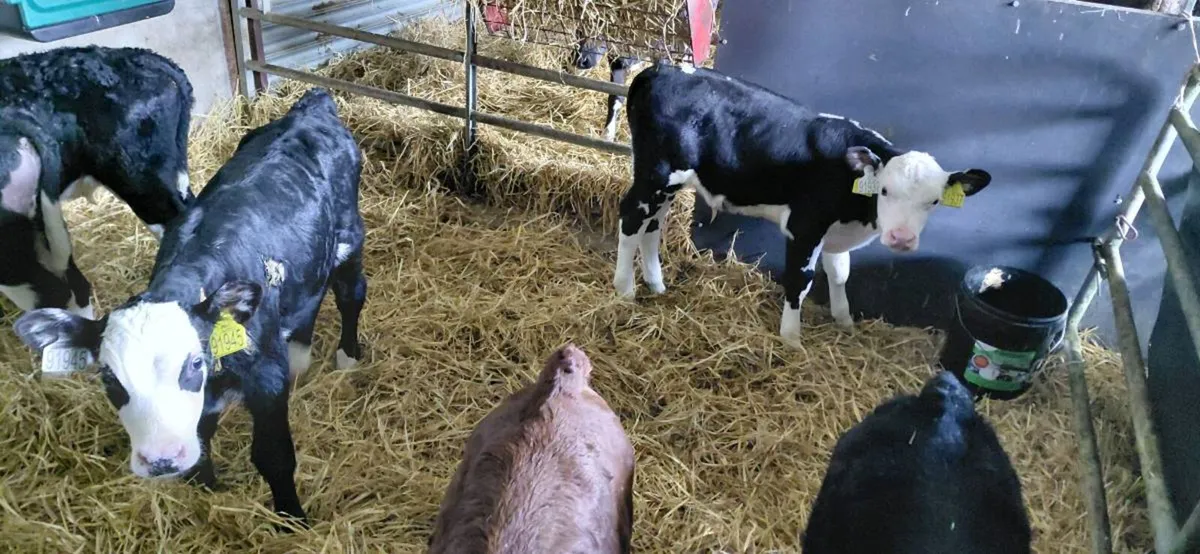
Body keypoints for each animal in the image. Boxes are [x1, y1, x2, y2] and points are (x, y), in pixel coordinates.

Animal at [11, 87, 366, 528]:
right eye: (109, 378)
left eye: (194, 364)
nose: (162, 460)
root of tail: (310, 107)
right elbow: (200, 435)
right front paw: (205, 486)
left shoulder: (264, 374)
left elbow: (274, 456)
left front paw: (291, 519)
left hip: (349, 238)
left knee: (350, 293)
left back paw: (348, 355)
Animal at [612, 63, 992, 346]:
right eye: (885, 191)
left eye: (933, 201)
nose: (901, 238)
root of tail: (662, 68)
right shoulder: (805, 225)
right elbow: (801, 279)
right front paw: (791, 338)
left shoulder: (835, 232)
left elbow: (840, 273)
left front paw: (844, 321)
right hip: (656, 173)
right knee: (630, 217)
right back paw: (625, 289)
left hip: (668, 184)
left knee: (653, 224)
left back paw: (656, 283)